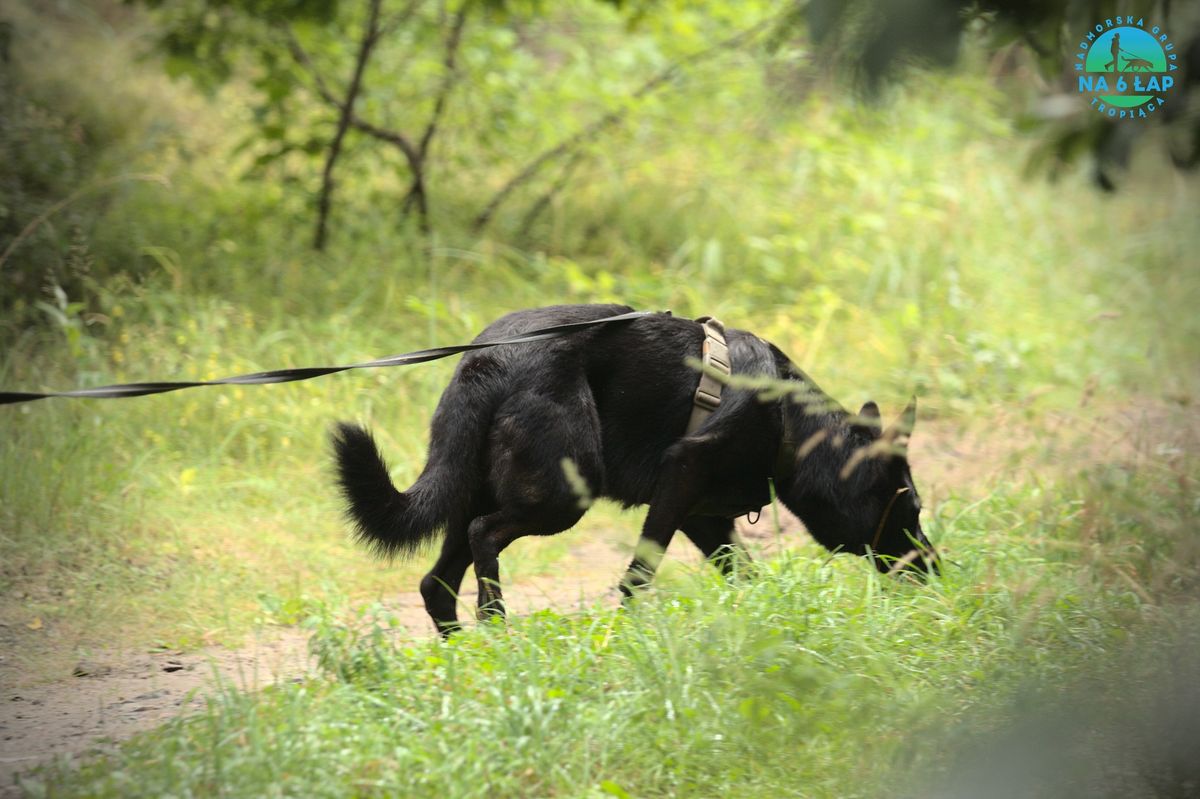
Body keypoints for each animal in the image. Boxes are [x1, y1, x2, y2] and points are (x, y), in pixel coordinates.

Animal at [336, 302, 936, 633]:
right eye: (910, 506)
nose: (937, 571)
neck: (793, 422)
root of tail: (487, 359)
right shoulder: (679, 480)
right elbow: (638, 575)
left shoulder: (703, 516)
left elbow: (741, 573)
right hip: (562, 494)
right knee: (484, 536)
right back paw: (496, 622)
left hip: (476, 492)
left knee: (436, 583)